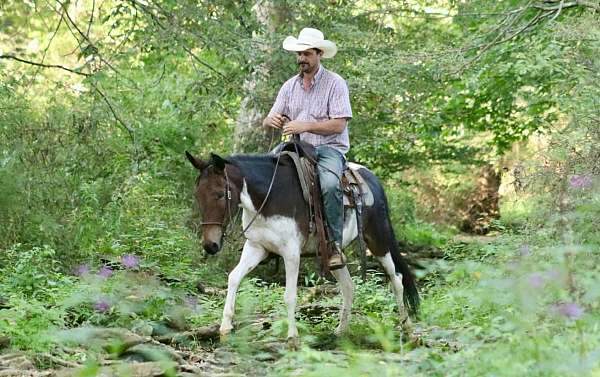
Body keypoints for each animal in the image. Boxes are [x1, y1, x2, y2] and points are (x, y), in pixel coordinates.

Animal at [185, 148, 420, 340]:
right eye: (197, 195)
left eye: (218, 194)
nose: (210, 245)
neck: (268, 197)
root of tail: (372, 179)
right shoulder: (257, 248)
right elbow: (234, 278)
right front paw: (225, 328)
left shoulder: (291, 253)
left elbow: (289, 295)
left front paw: (292, 337)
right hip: (333, 253)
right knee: (348, 287)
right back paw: (340, 331)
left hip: (378, 239)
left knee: (397, 280)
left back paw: (408, 328)